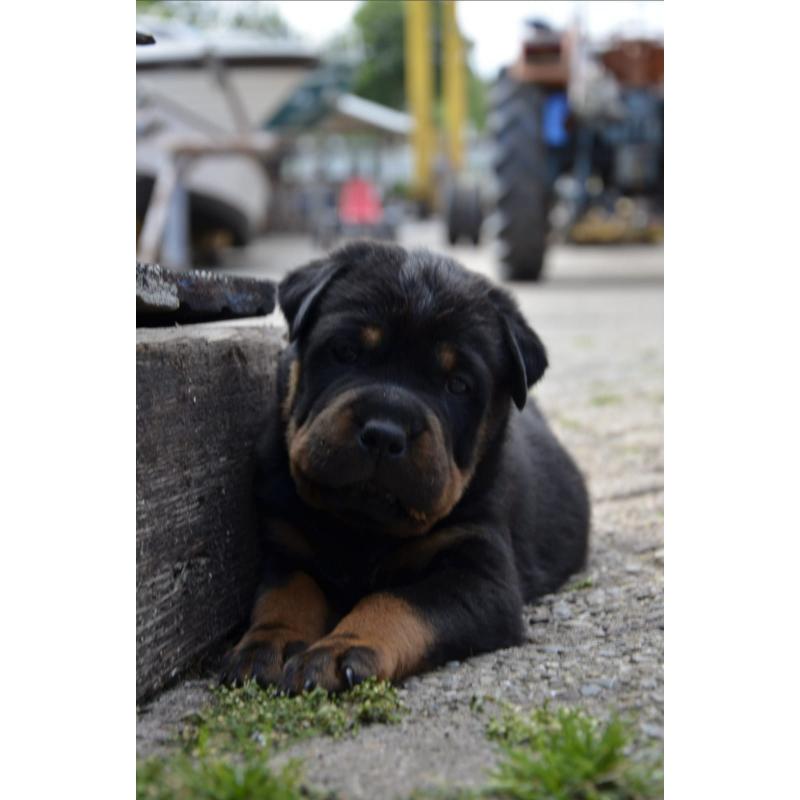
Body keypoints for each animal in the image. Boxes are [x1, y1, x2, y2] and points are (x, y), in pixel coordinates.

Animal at [222, 241, 592, 692]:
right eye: (346, 352)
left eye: (458, 385)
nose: (384, 432)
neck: (362, 528)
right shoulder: (285, 545)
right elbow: (285, 594)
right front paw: (268, 643)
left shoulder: (480, 575)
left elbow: (397, 601)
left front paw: (342, 647)